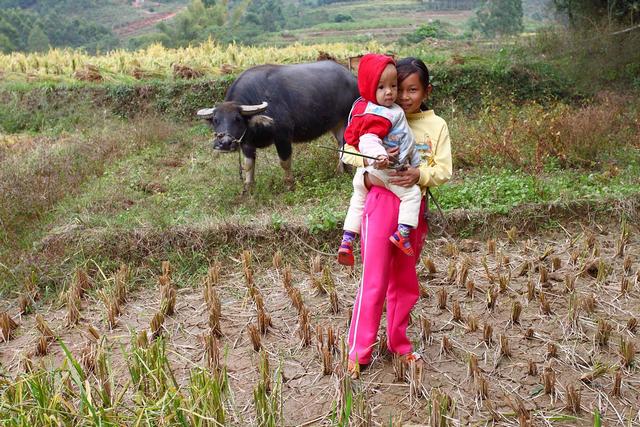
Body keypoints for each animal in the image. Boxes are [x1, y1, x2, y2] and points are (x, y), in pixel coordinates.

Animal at [195, 60, 360, 192]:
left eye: (237, 119)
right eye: (215, 120)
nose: (224, 143)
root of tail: (351, 78)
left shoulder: (283, 137)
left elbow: (284, 162)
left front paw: (289, 185)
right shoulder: (246, 142)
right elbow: (248, 165)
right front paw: (248, 188)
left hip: (347, 120)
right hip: (336, 124)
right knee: (341, 145)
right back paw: (341, 170)